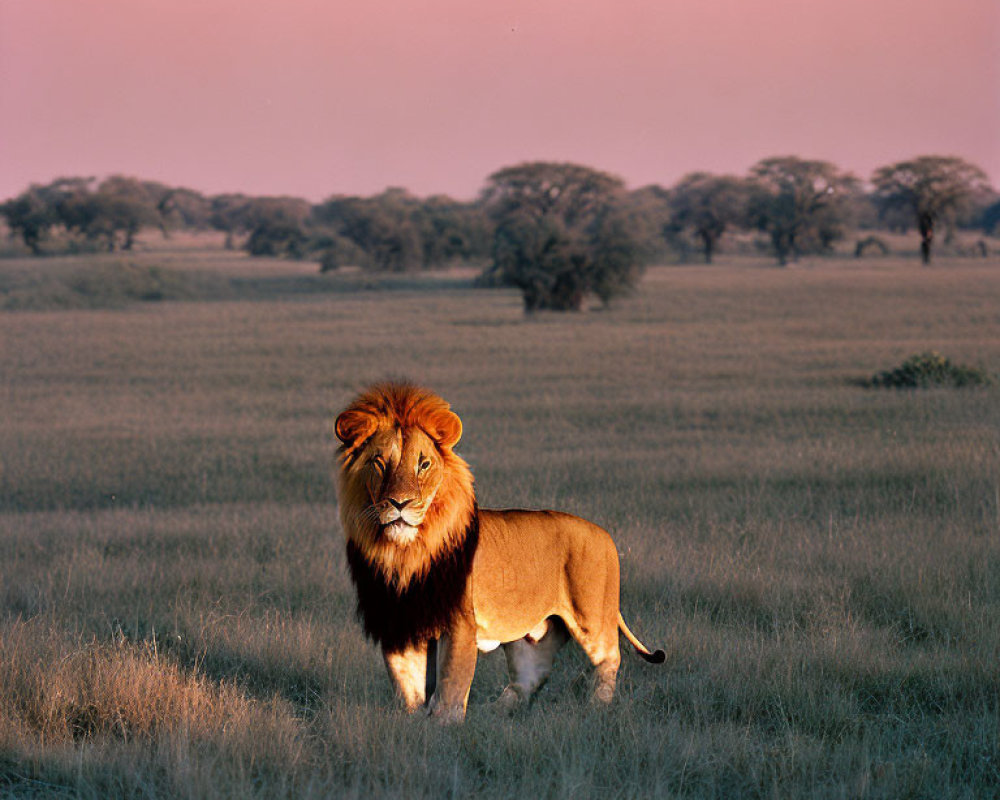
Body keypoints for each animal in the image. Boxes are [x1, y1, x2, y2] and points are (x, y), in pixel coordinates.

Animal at [334, 380, 664, 720]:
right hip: (529, 637)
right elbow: (407, 684)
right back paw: (496, 712)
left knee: (609, 657)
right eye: (379, 462)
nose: (399, 503)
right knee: (530, 677)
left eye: (423, 464)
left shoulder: (459, 622)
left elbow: (451, 682)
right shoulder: (399, 621)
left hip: (592, 614)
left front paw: (444, 724)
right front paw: (412, 722)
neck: (405, 552)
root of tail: (606, 535)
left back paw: (597, 706)